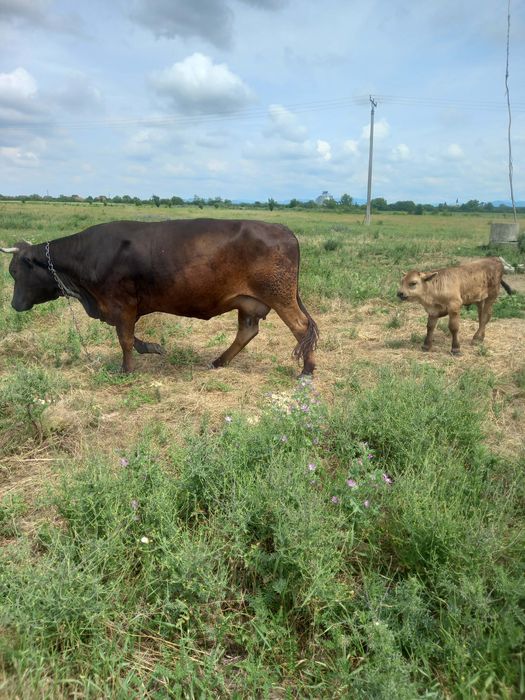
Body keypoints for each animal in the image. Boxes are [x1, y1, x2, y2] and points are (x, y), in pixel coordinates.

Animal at [1, 219, 319, 375]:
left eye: (15, 270)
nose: (15, 305)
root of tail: (281, 228)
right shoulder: (123, 309)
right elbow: (133, 338)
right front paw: (153, 348)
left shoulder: (122, 304)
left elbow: (125, 339)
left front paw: (126, 370)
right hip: (248, 301)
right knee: (247, 332)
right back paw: (219, 362)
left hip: (279, 295)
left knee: (302, 328)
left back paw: (307, 370)